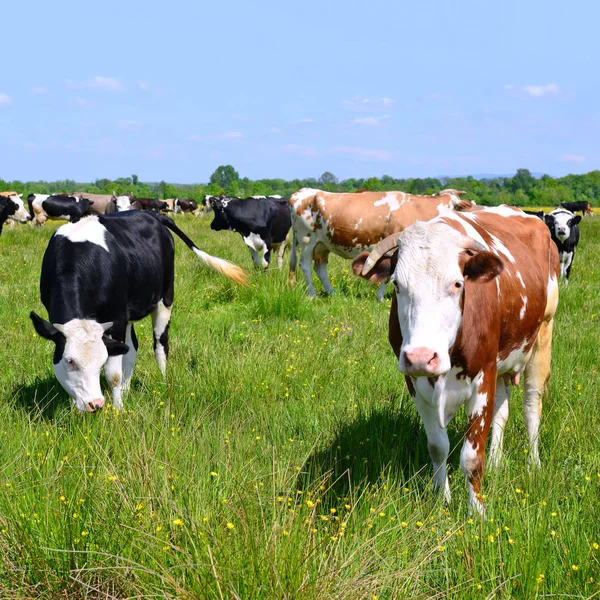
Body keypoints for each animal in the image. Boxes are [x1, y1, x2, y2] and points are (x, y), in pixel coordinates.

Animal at [29, 211, 246, 412]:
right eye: (70, 361)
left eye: (101, 361)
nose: (96, 404)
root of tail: (151, 214)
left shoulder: (117, 319)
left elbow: (113, 374)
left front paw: (118, 410)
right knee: (131, 348)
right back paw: (126, 390)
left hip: (165, 298)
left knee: (160, 345)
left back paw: (163, 381)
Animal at [290, 189, 474, 298]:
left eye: (456, 206)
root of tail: (302, 192)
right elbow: (391, 272)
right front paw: (381, 297)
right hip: (306, 240)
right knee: (305, 266)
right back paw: (313, 294)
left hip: (323, 245)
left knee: (320, 268)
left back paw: (332, 293)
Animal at [352, 206, 556, 516]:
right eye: (397, 284)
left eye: (458, 283)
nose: (421, 357)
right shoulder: (416, 383)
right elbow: (438, 446)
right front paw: (442, 499)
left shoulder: (483, 376)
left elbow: (471, 457)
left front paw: (476, 511)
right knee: (501, 412)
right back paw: (496, 460)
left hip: (542, 336)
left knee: (532, 406)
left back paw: (534, 463)